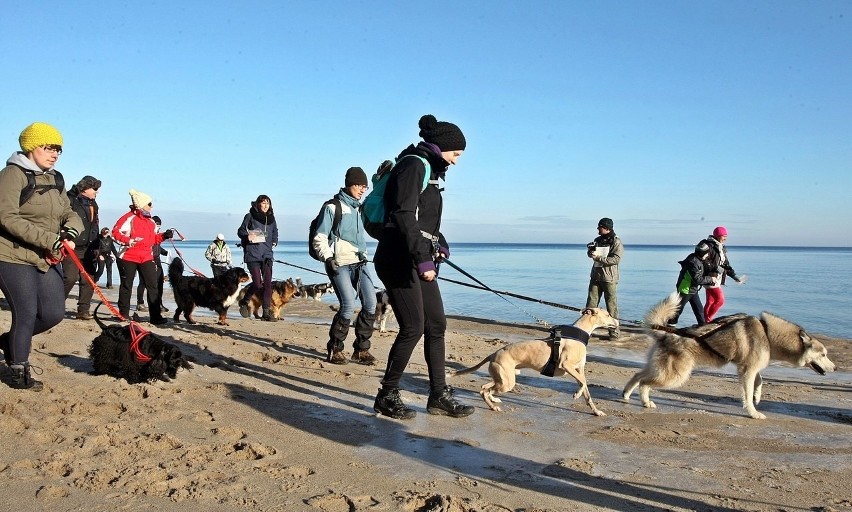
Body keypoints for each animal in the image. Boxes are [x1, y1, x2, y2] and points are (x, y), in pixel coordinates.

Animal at [452, 308, 620, 416]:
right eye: (608, 314)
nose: (618, 321)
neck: (579, 333)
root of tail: (493, 354)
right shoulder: (566, 365)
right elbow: (583, 383)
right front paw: (576, 394)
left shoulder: (579, 370)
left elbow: (586, 390)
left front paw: (596, 411)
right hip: (507, 382)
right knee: (484, 391)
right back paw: (493, 407)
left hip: (503, 378)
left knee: (484, 387)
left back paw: (494, 400)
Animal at [624, 292, 836, 420]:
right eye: (824, 354)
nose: (835, 368)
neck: (767, 333)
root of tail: (666, 334)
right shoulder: (747, 371)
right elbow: (747, 394)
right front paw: (753, 412)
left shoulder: (748, 368)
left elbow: (759, 381)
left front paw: (758, 396)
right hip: (675, 375)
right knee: (644, 383)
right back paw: (645, 401)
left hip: (660, 368)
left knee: (637, 375)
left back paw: (626, 394)